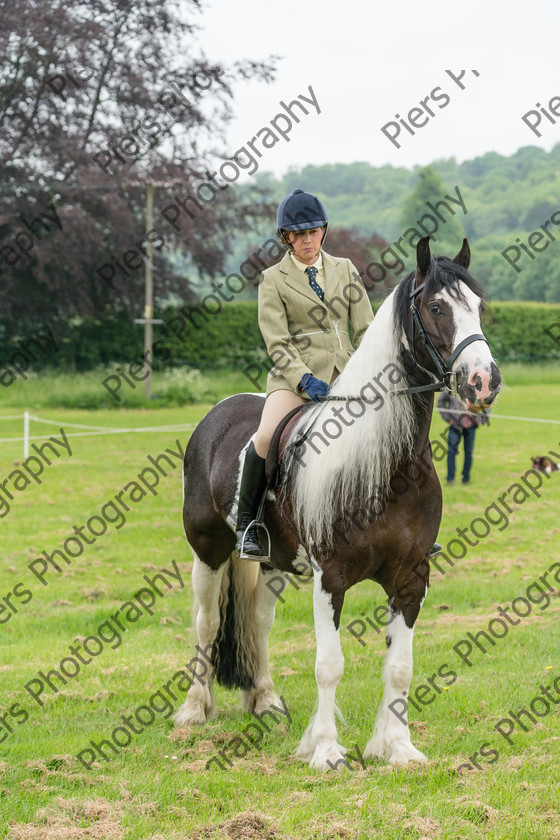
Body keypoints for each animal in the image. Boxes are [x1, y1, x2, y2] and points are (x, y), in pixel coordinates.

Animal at [173, 235, 500, 768]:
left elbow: (400, 667)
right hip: (209, 550)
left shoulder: (411, 577)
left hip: (275, 561)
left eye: (478, 306)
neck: (389, 464)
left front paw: (397, 747)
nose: (483, 382)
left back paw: (265, 702)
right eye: (436, 307)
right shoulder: (332, 576)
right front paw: (326, 750)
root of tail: (220, 412)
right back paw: (193, 710)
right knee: (207, 623)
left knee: (257, 623)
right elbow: (329, 664)